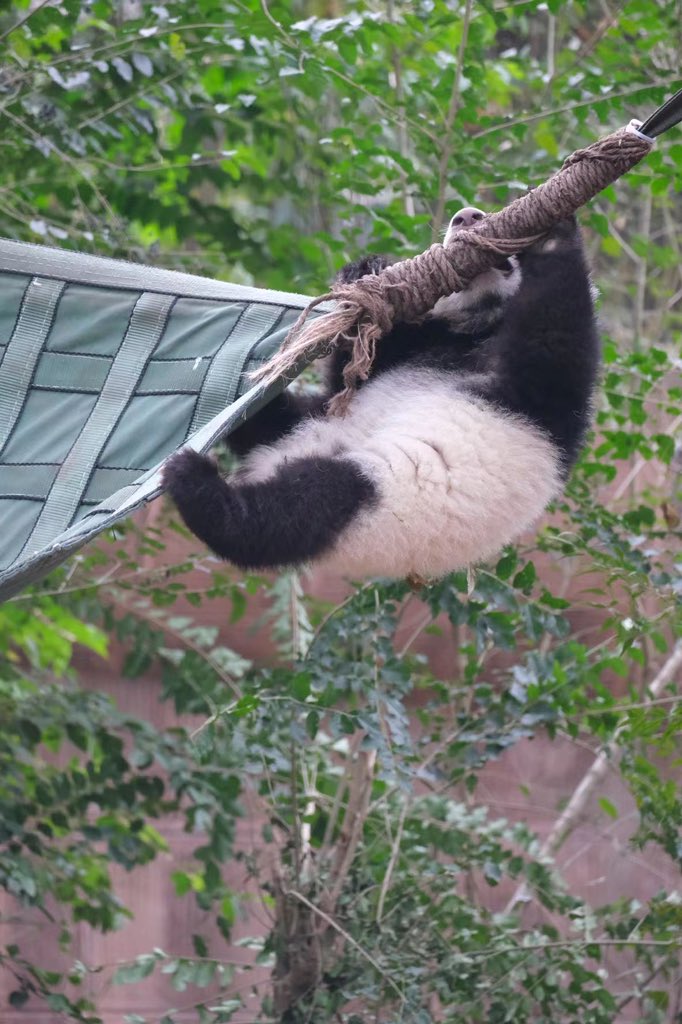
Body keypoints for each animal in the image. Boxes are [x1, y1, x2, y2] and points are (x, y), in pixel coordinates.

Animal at [162, 208, 600, 580]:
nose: (466, 217)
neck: (478, 325)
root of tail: (277, 458)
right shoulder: (422, 344)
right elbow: (351, 374)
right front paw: (366, 269)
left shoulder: (544, 395)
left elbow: (552, 341)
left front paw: (552, 234)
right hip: (310, 422)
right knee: (273, 417)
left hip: (370, 505)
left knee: (294, 513)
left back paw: (198, 483)